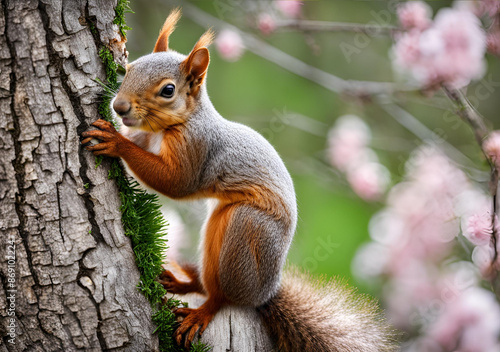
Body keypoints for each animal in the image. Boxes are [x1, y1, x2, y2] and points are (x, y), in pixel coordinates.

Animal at [80, 8, 396, 352]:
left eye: (168, 90)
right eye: (128, 69)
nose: (119, 106)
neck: (176, 124)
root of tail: (264, 293)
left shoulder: (198, 148)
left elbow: (176, 183)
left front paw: (115, 141)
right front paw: (119, 129)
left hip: (245, 230)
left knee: (223, 297)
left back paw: (200, 312)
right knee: (208, 281)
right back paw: (181, 281)